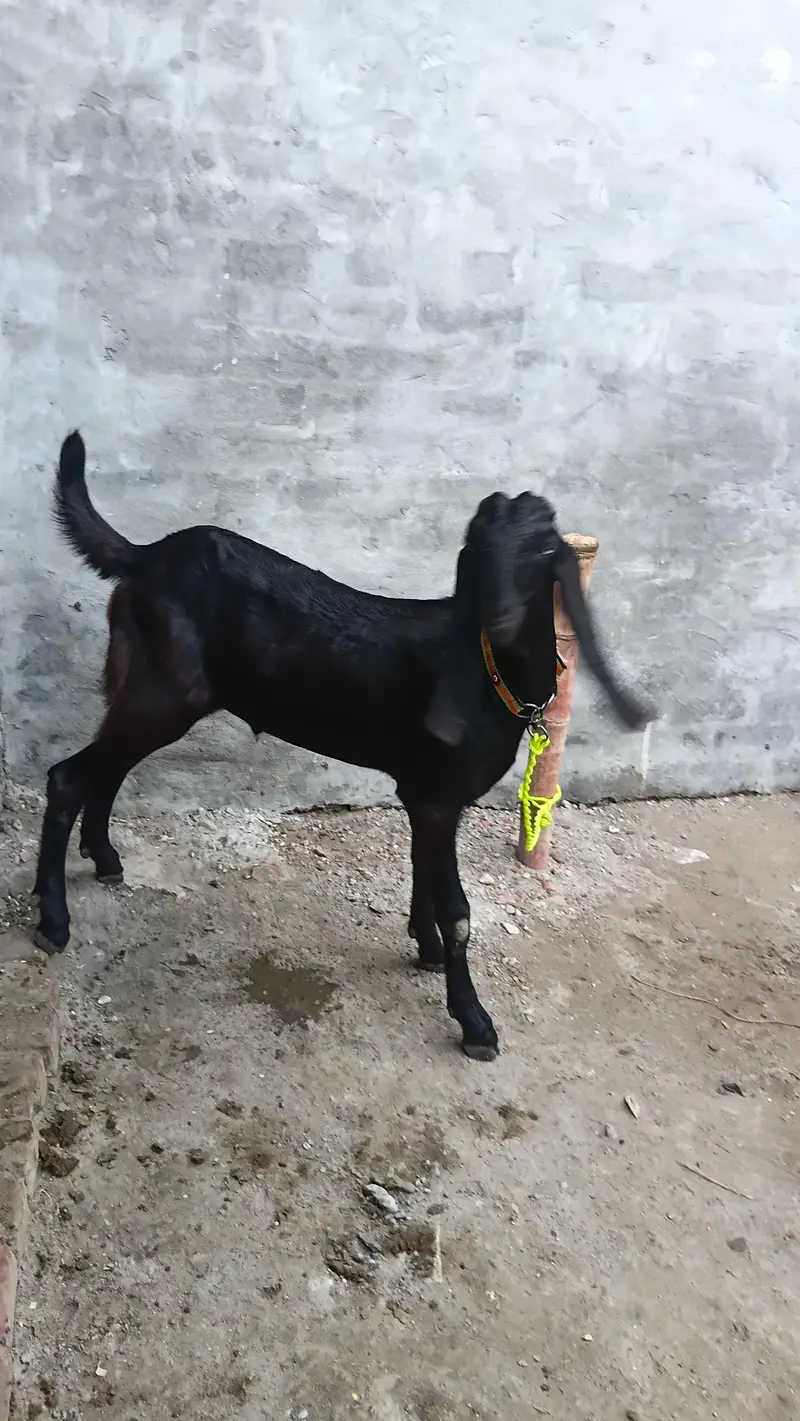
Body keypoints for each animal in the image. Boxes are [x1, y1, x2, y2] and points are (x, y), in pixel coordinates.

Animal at [32, 431, 651, 1060]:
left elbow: (423, 872)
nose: (499, 619)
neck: (489, 674)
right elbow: (457, 910)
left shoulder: (422, 792)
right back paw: (53, 922)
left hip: (147, 687)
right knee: (70, 776)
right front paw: (475, 1023)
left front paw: (424, 948)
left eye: (543, 550)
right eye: (478, 546)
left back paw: (105, 859)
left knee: (108, 767)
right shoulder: (436, 795)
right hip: (166, 692)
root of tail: (146, 556)